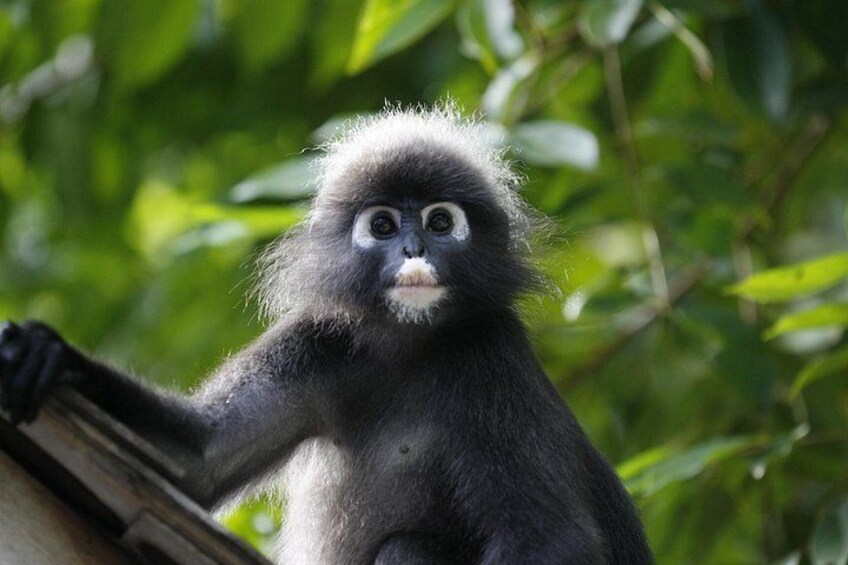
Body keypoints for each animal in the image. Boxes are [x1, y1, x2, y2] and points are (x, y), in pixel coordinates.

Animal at [0, 104, 652, 564]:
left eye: (440, 221)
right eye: (383, 225)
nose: (413, 249)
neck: (406, 347)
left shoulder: (492, 357)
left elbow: (552, 540)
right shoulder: (319, 341)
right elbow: (195, 460)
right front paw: (48, 353)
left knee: (406, 548)